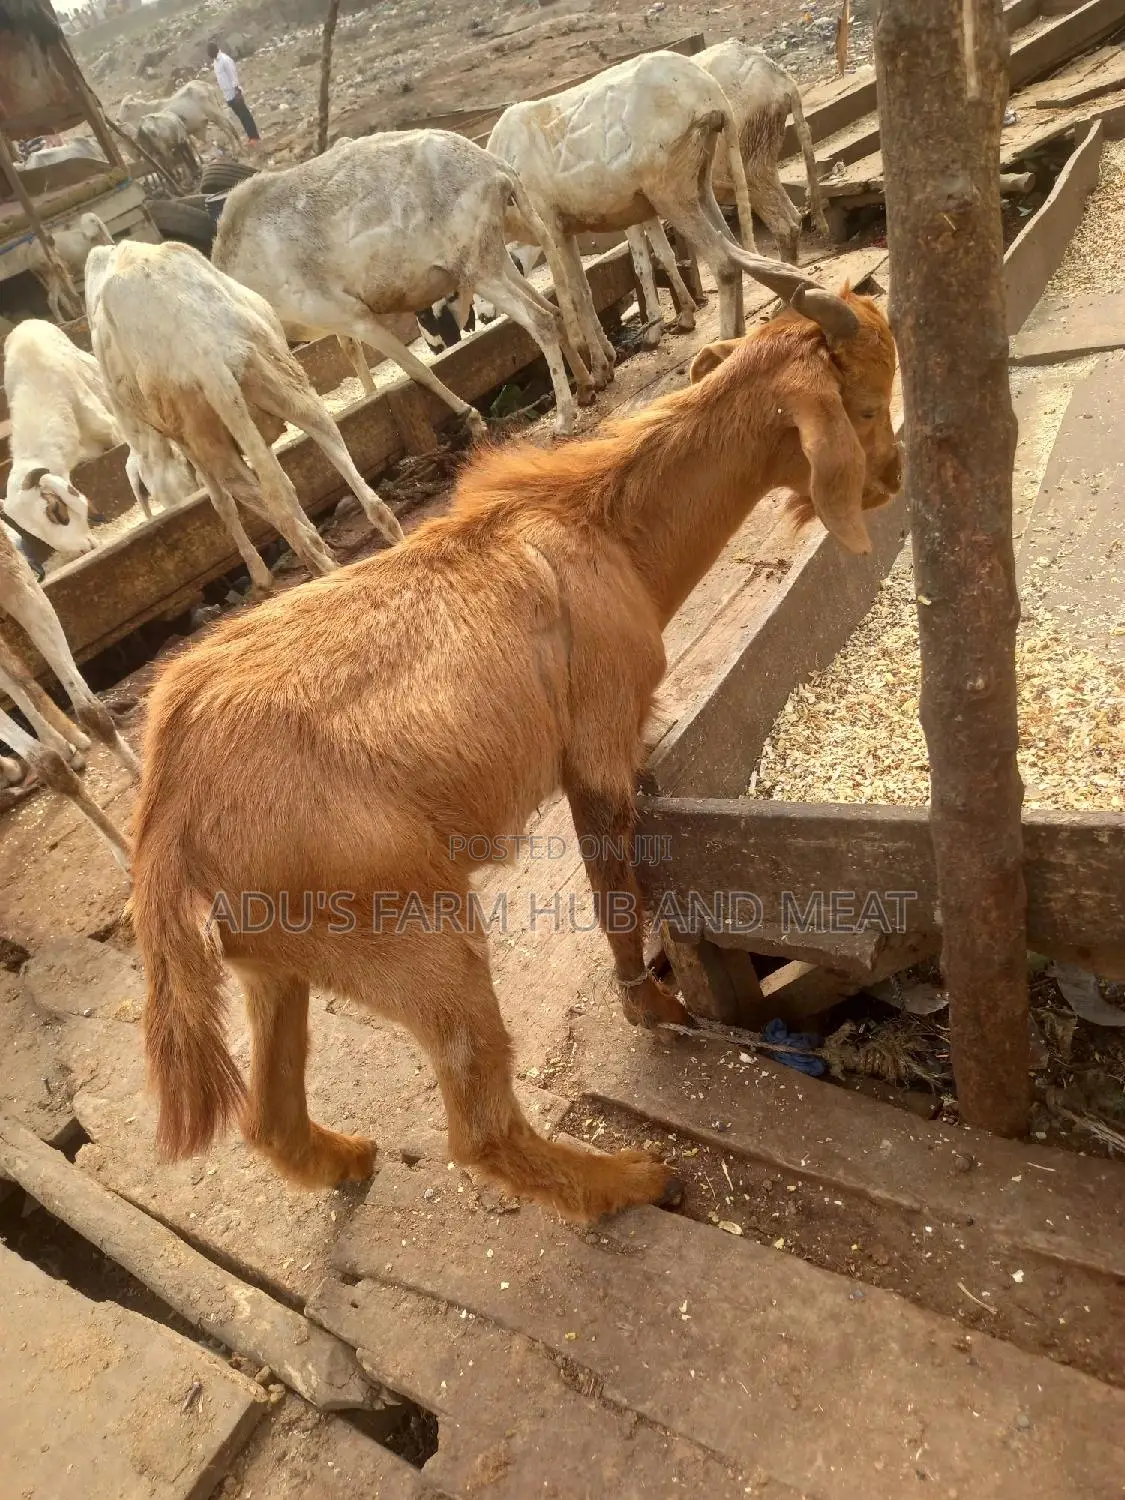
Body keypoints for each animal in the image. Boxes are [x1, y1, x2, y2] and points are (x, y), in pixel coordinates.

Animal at [84, 240, 401, 595]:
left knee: (259, 497)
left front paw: (260, 574)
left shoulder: (186, 442)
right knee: (325, 453)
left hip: (203, 428)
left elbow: (223, 502)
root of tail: (203, 353)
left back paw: (314, 563)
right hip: (278, 373)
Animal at [129, 266, 901, 1224]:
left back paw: (347, 1159)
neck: (600, 527)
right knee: (479, 1130)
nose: (892, 479)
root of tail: (168, 822)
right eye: (863, 404)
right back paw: (631, 1181)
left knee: (268, 1117)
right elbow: (615, 890)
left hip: (276, 961)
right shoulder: (599, 742)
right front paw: (652, 1007)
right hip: (415, 934)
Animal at [210, 132, 593, 436]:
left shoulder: (355, 317)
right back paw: (587, 386)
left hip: (478, 271)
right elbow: (353, 355)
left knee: (541, 321)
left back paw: (564, 418)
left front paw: (471, 417)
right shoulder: (337, 324)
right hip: (492, 261)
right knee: (554, 311)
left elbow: (416, 369)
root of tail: (495, 168)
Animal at [486, 49, 757, 389]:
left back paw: (721, 345)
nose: (482, 318)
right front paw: (607, 360)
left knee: (723, 263)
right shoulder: (566, 230)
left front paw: (599, 371)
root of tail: (708, 92)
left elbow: (574, 297)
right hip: (698, 181)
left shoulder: (551, 227)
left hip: (669, 190)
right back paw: (736, 340)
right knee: (735, 250)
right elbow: (586, 293)